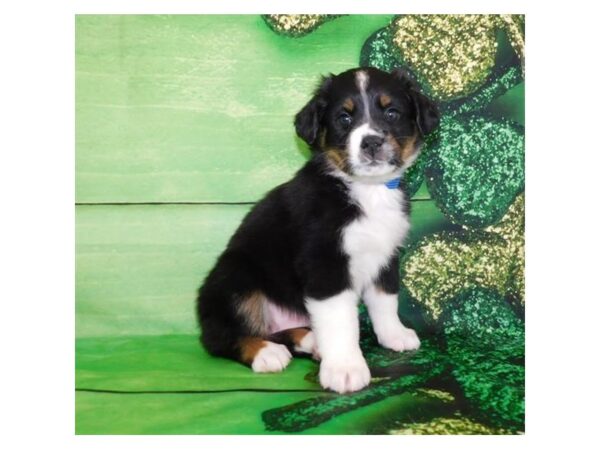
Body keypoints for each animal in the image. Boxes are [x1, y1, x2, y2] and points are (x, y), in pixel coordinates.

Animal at [199, 67, 438, 394]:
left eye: (391, 113)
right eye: (344, 118)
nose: (371, 142)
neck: (366, 191)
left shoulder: (385, 254)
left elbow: (385, 300)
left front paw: (395, 335)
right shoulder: (324, 262)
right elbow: (341, 321)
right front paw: (345, 369)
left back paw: (310, 341)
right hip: (234, 277)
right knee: (220, 338)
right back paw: (266, 352)